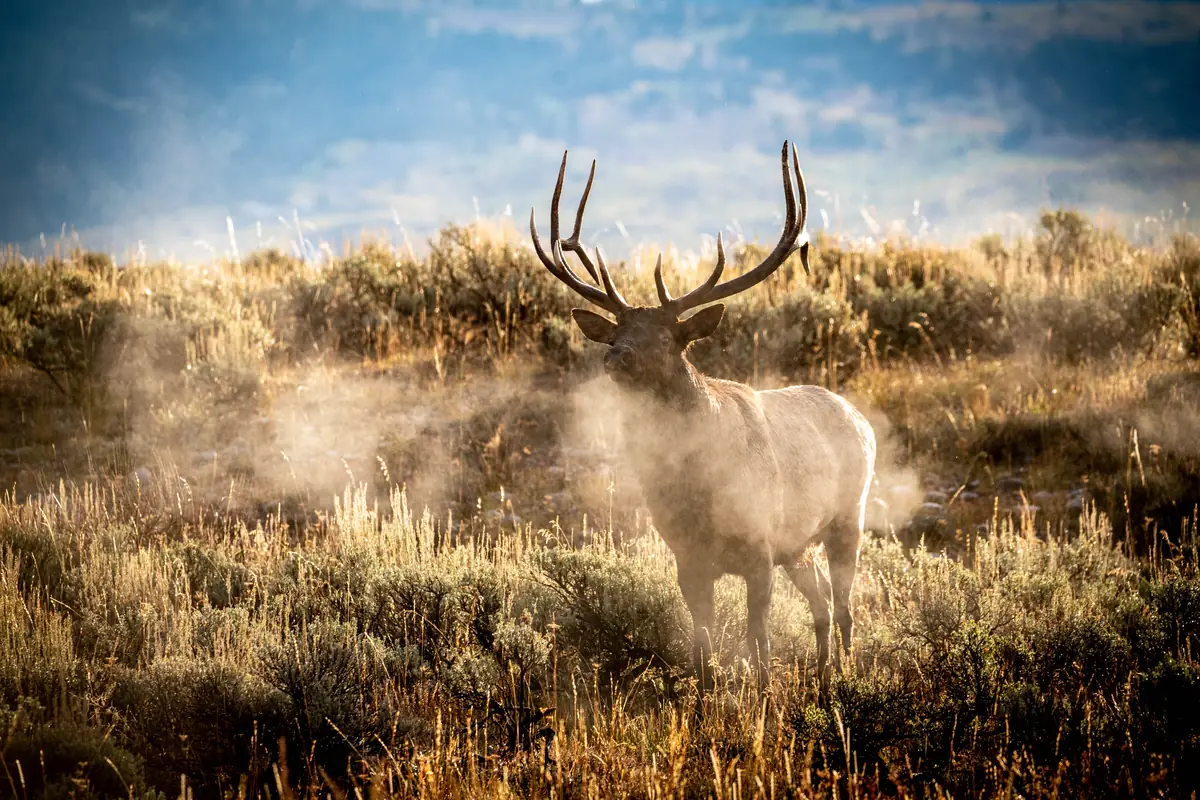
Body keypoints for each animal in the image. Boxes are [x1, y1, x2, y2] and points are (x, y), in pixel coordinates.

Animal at [529, 141, 877, 695]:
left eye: (668, 337)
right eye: (618, 331)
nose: (616, 356)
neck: (698, 490)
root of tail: (862, 420)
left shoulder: (759, 545)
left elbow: (759, 644)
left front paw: (763, 699)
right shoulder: (687, 558)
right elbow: (703, 651)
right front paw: (707, 698)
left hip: (849, 513)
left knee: (843, 605)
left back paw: (843, 677)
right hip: (797, 545)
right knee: (821, 597)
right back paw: (822, 676)